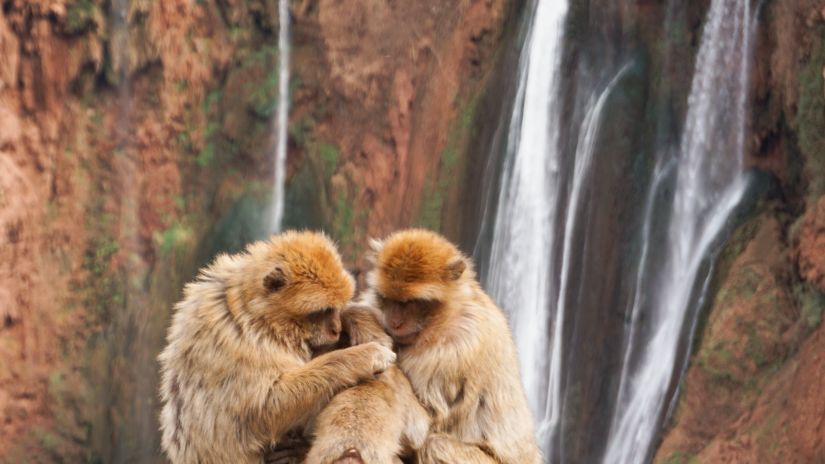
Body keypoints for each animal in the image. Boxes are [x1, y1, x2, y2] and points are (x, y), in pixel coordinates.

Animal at [159, 230, 398, 462]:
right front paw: (366, 355)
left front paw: (359, 320)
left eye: (335, 309)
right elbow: (264, 409)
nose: (336, 329)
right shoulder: (237, 343)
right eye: (321, 312)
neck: (257, 316)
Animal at [364, 228, 544, 464]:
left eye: (410, 303)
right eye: (388, 299)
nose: (394, 322)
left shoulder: (455, 349)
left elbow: (425, 424)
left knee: (435, 445)